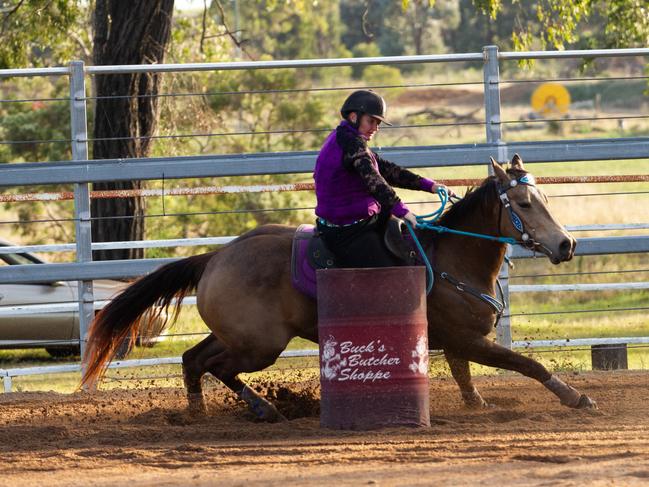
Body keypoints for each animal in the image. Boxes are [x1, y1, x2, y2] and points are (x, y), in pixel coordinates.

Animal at [82, 154, 596, 422]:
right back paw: (262, 408)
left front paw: (478, 404)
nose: (566, 244)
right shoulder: (469, 339)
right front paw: (575, 397)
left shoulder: (457, 343)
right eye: (525, 203)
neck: (453, 256)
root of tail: (215, 257)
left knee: (193, 360)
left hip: (239, 334)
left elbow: (467, 378)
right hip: (261, 345)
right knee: (215, 366)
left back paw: (203, 413)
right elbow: (526, 363)